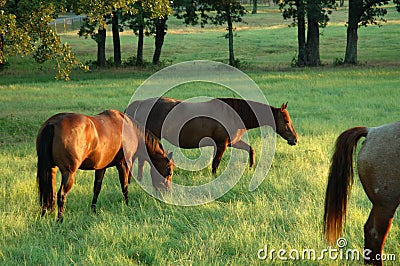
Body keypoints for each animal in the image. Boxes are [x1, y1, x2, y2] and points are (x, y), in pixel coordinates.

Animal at [37, 109, 173, 221]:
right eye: (169, 171)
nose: (168, 192)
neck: (130, 129)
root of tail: (52, 124)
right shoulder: (123, 164)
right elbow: (124, 186)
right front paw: (127, 205)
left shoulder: (101, 167)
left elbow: (97, 188)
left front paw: (93, 210)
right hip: (69, 173)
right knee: (61, 194)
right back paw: (60, 220)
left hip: (51, 170)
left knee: (49, 192)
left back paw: (45, 214)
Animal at [126, 96, 298, 176]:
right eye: (286, 121)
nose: (295, 140)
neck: (232, 114)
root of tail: (141, 104)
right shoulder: (222, 144)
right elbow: (216, 163)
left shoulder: (232, 142)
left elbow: (250, 149)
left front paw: (251, 166)